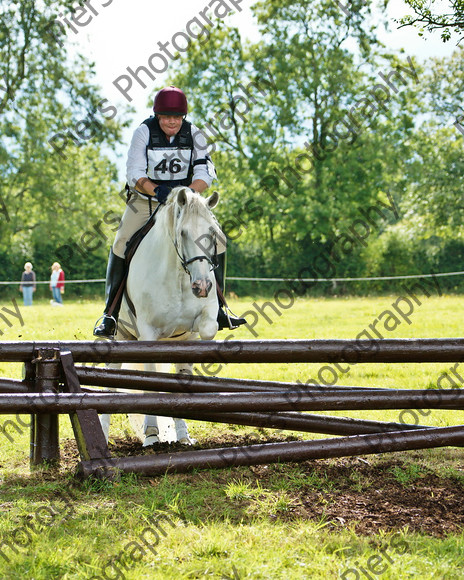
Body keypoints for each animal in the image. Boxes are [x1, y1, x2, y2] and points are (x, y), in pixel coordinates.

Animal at [100, 188, 226, 446]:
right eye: (183, 232)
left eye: (212, 232)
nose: (202, 286)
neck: (179, 275)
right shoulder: (148, 333)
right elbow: (151, 385)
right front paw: (151, 436)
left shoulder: (199, 323)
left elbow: (205, 331)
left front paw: (182, 435)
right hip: (120, 336)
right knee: (110, 380)